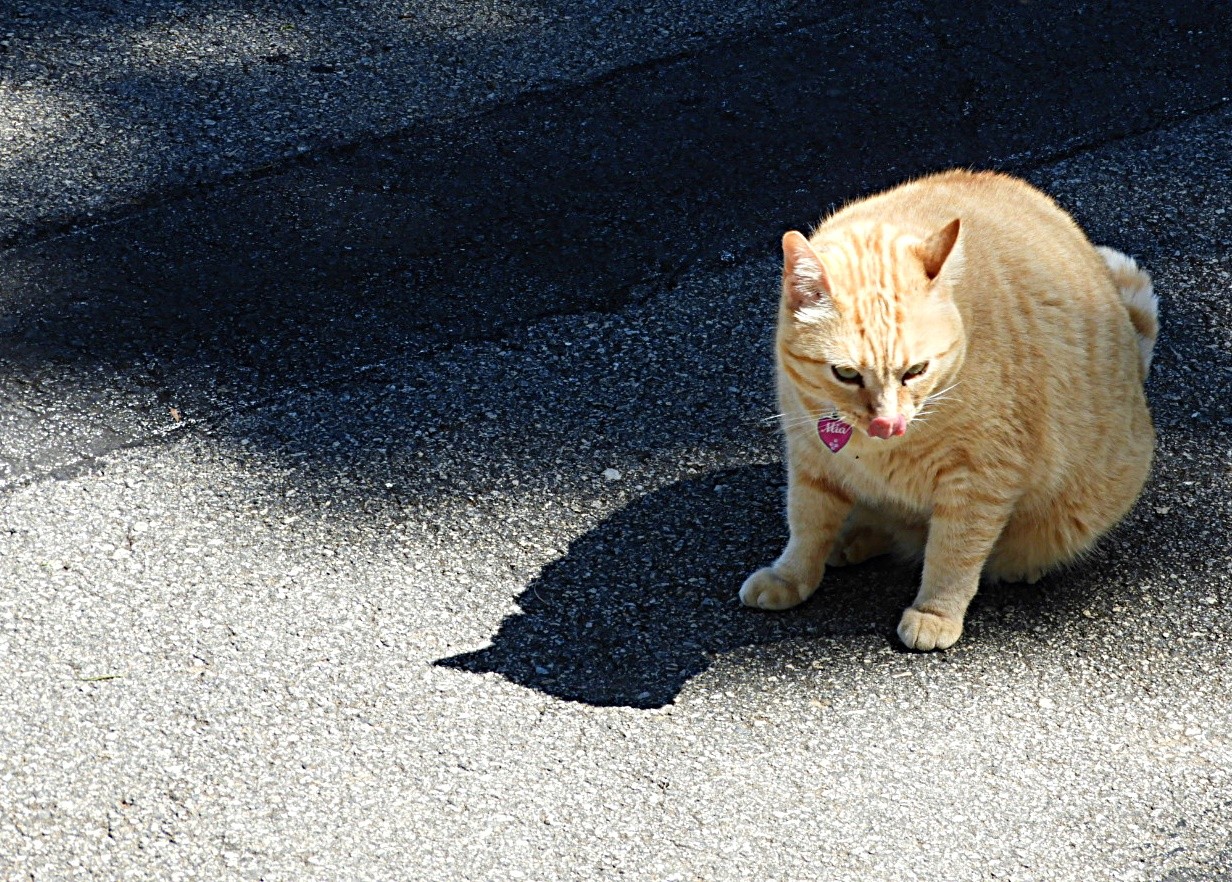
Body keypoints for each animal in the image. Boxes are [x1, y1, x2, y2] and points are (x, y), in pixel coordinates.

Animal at [739, 169, 1153, 645]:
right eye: (845, 374)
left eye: (915, 370)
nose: (887, 423)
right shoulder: (810, 457)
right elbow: (806, 525)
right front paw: (790, 576)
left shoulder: (979, 479)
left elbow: (953, 553)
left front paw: (935, 613)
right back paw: (852, 539)